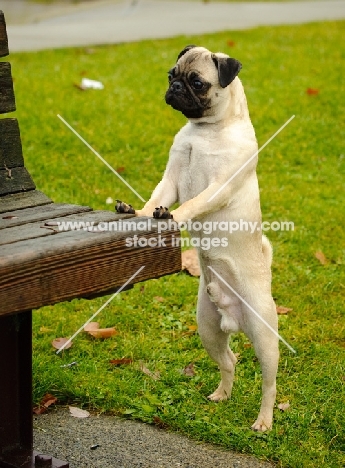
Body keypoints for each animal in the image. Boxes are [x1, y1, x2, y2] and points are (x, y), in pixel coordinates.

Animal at [117, 46, 278, 432]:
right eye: (171, 74)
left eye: (198, 83)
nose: (175, 87)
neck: (206, 130)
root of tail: (234, 317)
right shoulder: (172, 177)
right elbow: (155, 198)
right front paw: (139, 212)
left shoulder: (217, 187)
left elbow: (191, 204)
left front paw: (171, 216)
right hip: (208, 330)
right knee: (230, 360)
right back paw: (222, 395)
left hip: (265, 338)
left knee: (269, 382)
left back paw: (263, 421)